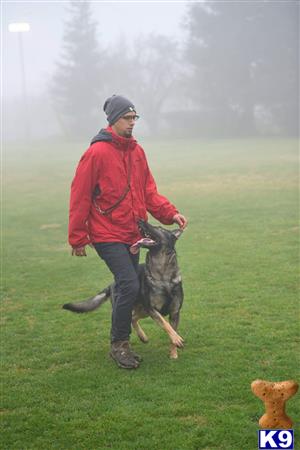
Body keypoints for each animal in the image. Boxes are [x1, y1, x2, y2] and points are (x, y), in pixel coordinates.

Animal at [63, 221, 184, 358]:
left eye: (159, 228)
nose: (140, 220)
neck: (163, 276)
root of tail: (113, 283)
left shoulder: (174, 312)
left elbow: (172, 328)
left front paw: (173, 353)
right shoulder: (153, 310)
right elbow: (165, 324)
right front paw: (177, 339)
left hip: (143, 310)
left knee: (133, 317)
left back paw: (143, 337)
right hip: (138, 308)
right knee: (129, 318)